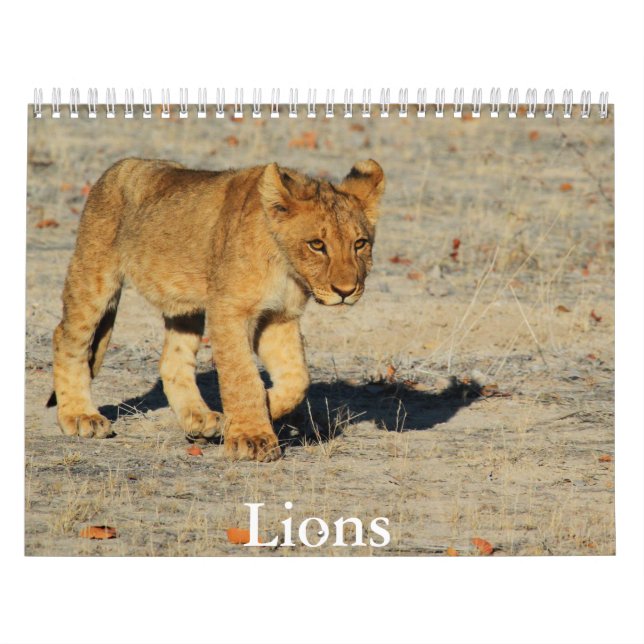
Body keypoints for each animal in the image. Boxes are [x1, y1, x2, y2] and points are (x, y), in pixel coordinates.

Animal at [48, 157, 385, 461]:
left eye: (359, 243)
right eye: (317, 244)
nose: (346, 291)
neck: (286, 267)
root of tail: (116, 168)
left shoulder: (279, 316)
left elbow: (297, 378)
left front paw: (259, 410)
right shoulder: (229, 309)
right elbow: (242, 375)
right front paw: (252, 438)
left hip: (185, 307)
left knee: (173, 361)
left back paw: (201, 419)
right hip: (94, 276)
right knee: (67, 337)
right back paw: (80, 416)